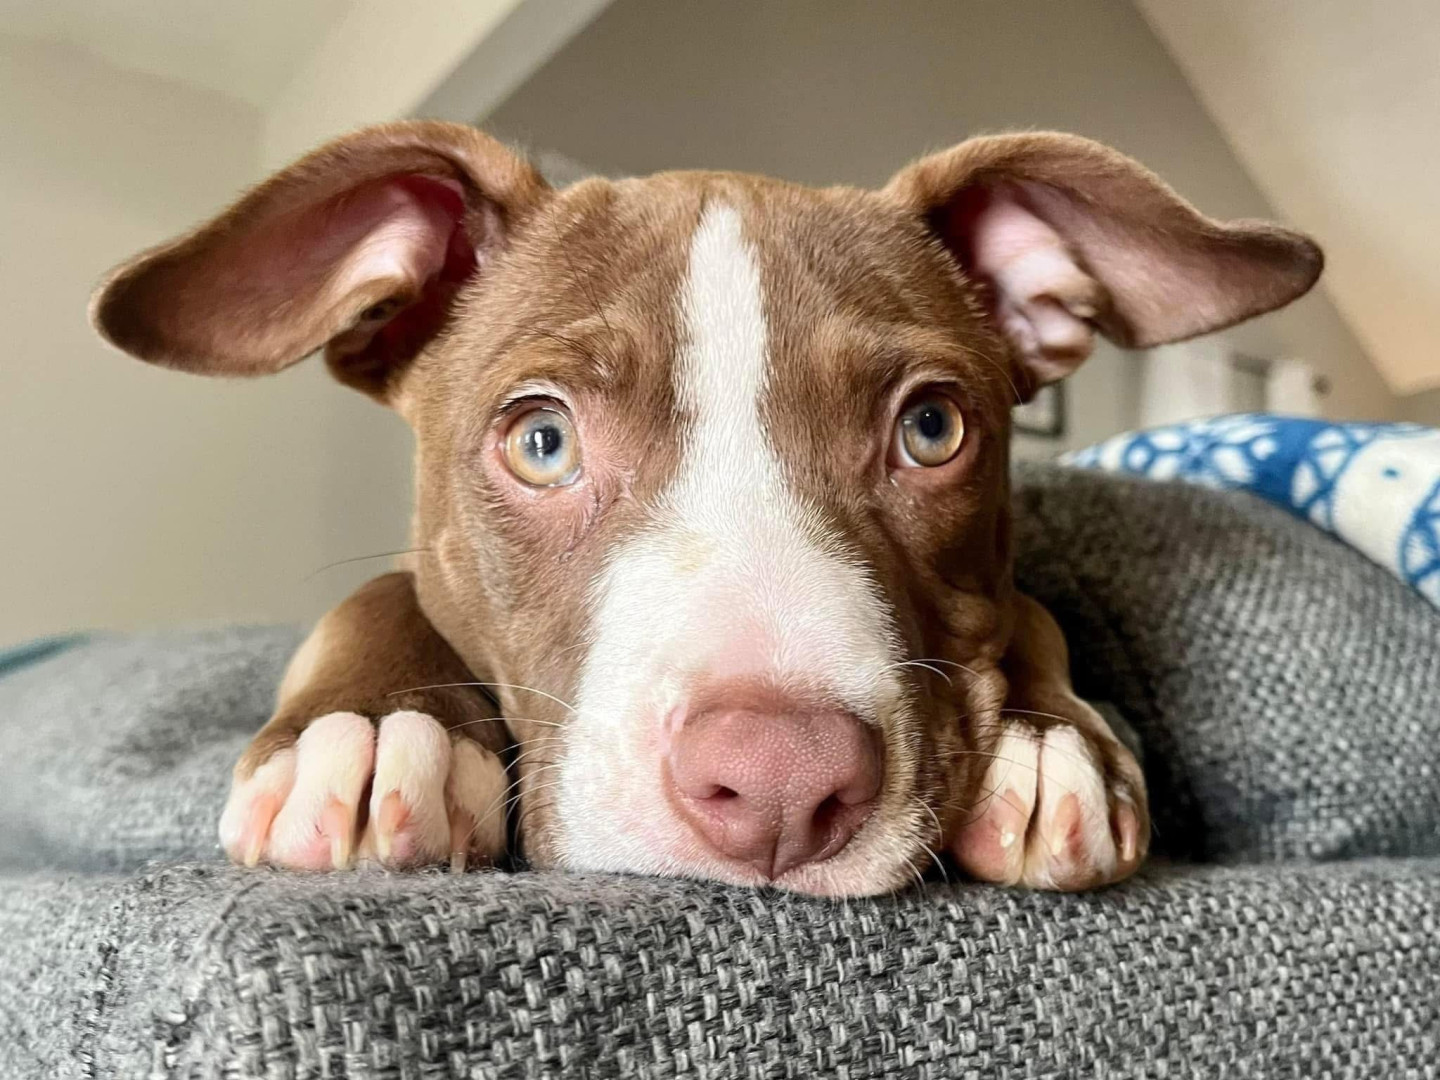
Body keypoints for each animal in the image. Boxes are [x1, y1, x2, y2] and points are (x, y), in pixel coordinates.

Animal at [91, 123, 1320, 896]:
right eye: (542, 441)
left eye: (931, 430)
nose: (781, 784)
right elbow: (381, 590)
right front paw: (373, 727)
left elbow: (1027, 614)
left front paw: (1049, 740)